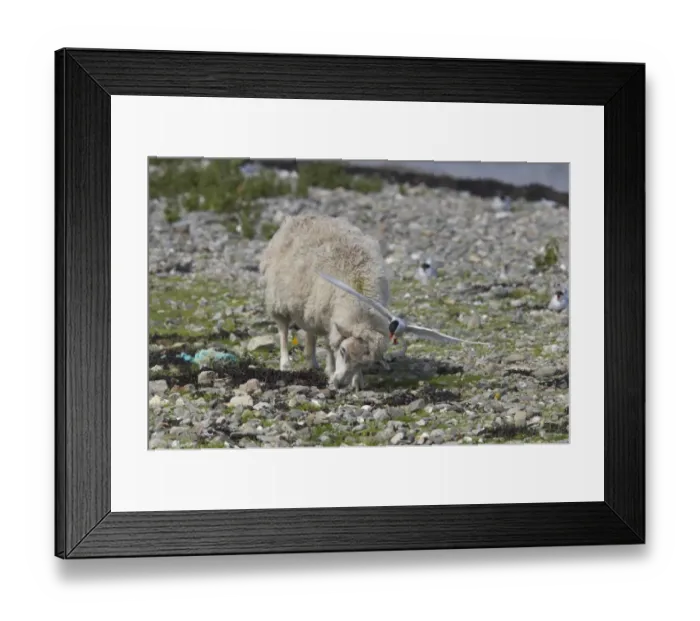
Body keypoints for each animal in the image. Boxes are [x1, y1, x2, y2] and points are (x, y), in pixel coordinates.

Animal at [259, 214, 392, 391]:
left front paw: (357, 381)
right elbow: (329, 347)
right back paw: (285, 363)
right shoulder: (327, 318)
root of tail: (300, 217)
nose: (340, 383)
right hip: (278, 300)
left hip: (309, 304)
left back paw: (311, 361)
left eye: (365, 364)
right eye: (343, 351)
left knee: (309, 332)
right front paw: (330, 371)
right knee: (283, 331)